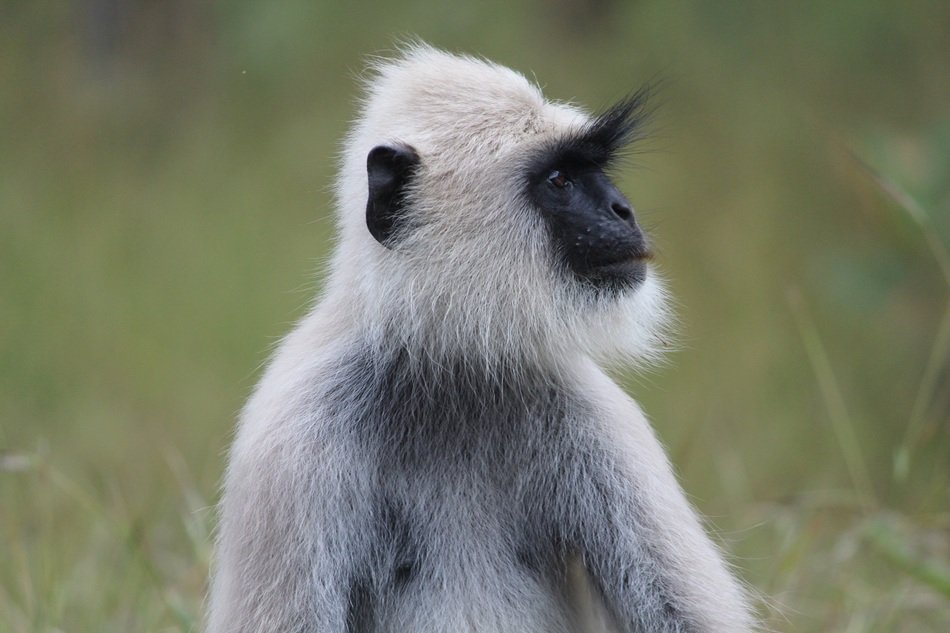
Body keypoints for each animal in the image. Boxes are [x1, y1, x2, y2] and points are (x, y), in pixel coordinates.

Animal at [206, 45, 757, 633]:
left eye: (593, 172)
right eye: (559, 180)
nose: (622, 210)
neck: (451, 370)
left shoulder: (596, 416)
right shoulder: (294, 444)